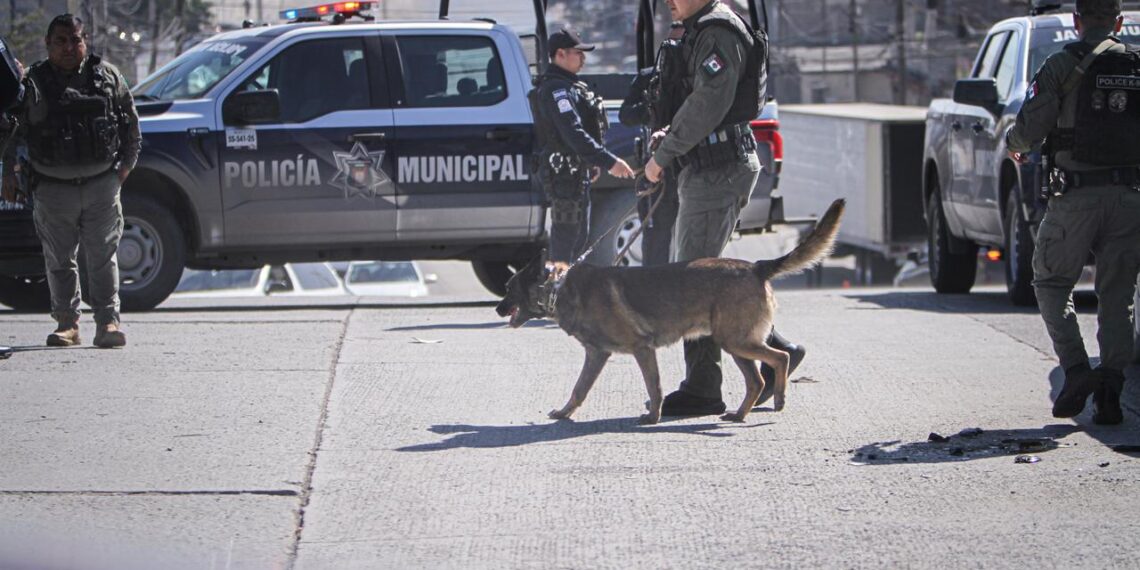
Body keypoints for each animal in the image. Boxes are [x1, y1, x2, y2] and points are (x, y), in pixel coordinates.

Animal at [494, 199, 843, 424]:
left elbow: (655, 386)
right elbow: (579, 388)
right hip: (734, 343)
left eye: (509, 287)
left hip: (735, 340)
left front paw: (652, 416)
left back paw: (778, 397)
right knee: (756, 380)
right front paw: (565, 413)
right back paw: (741, 413)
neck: (560, 286)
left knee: (779, 359)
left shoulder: (641, 349)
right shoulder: (597, 355)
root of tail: (757, 267)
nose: (497, 308)